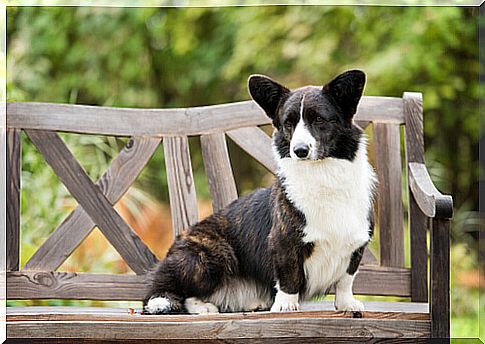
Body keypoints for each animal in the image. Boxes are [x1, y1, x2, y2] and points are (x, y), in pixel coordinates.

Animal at [142, 69, 376, 314]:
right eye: (288, 123)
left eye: (319, 119)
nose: (299, 150)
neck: (322, 175)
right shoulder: (283, 243)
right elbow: (289, 276)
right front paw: (285, 306)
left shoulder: (355, 246)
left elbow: (346, 280)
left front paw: (347, 304)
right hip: (210, 255)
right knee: (167, 292)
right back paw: (198, 306)